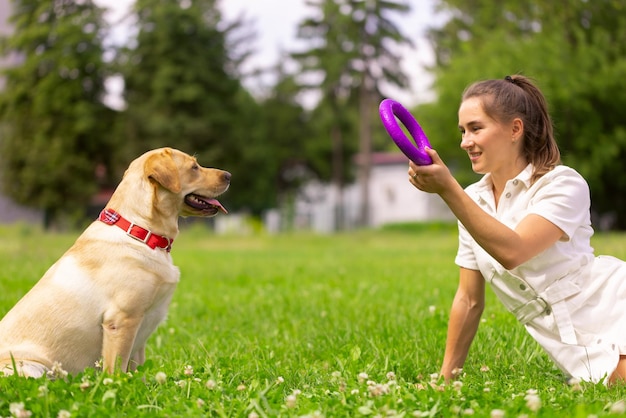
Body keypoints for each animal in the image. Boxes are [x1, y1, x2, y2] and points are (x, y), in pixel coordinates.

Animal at [0, 148, 230, 378]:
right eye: (194, 167)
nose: (228, 175)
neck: (141, 231)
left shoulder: (141, 332)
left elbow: (137, 369)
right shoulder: (121, 320)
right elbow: (116, 370)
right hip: (31, 368)